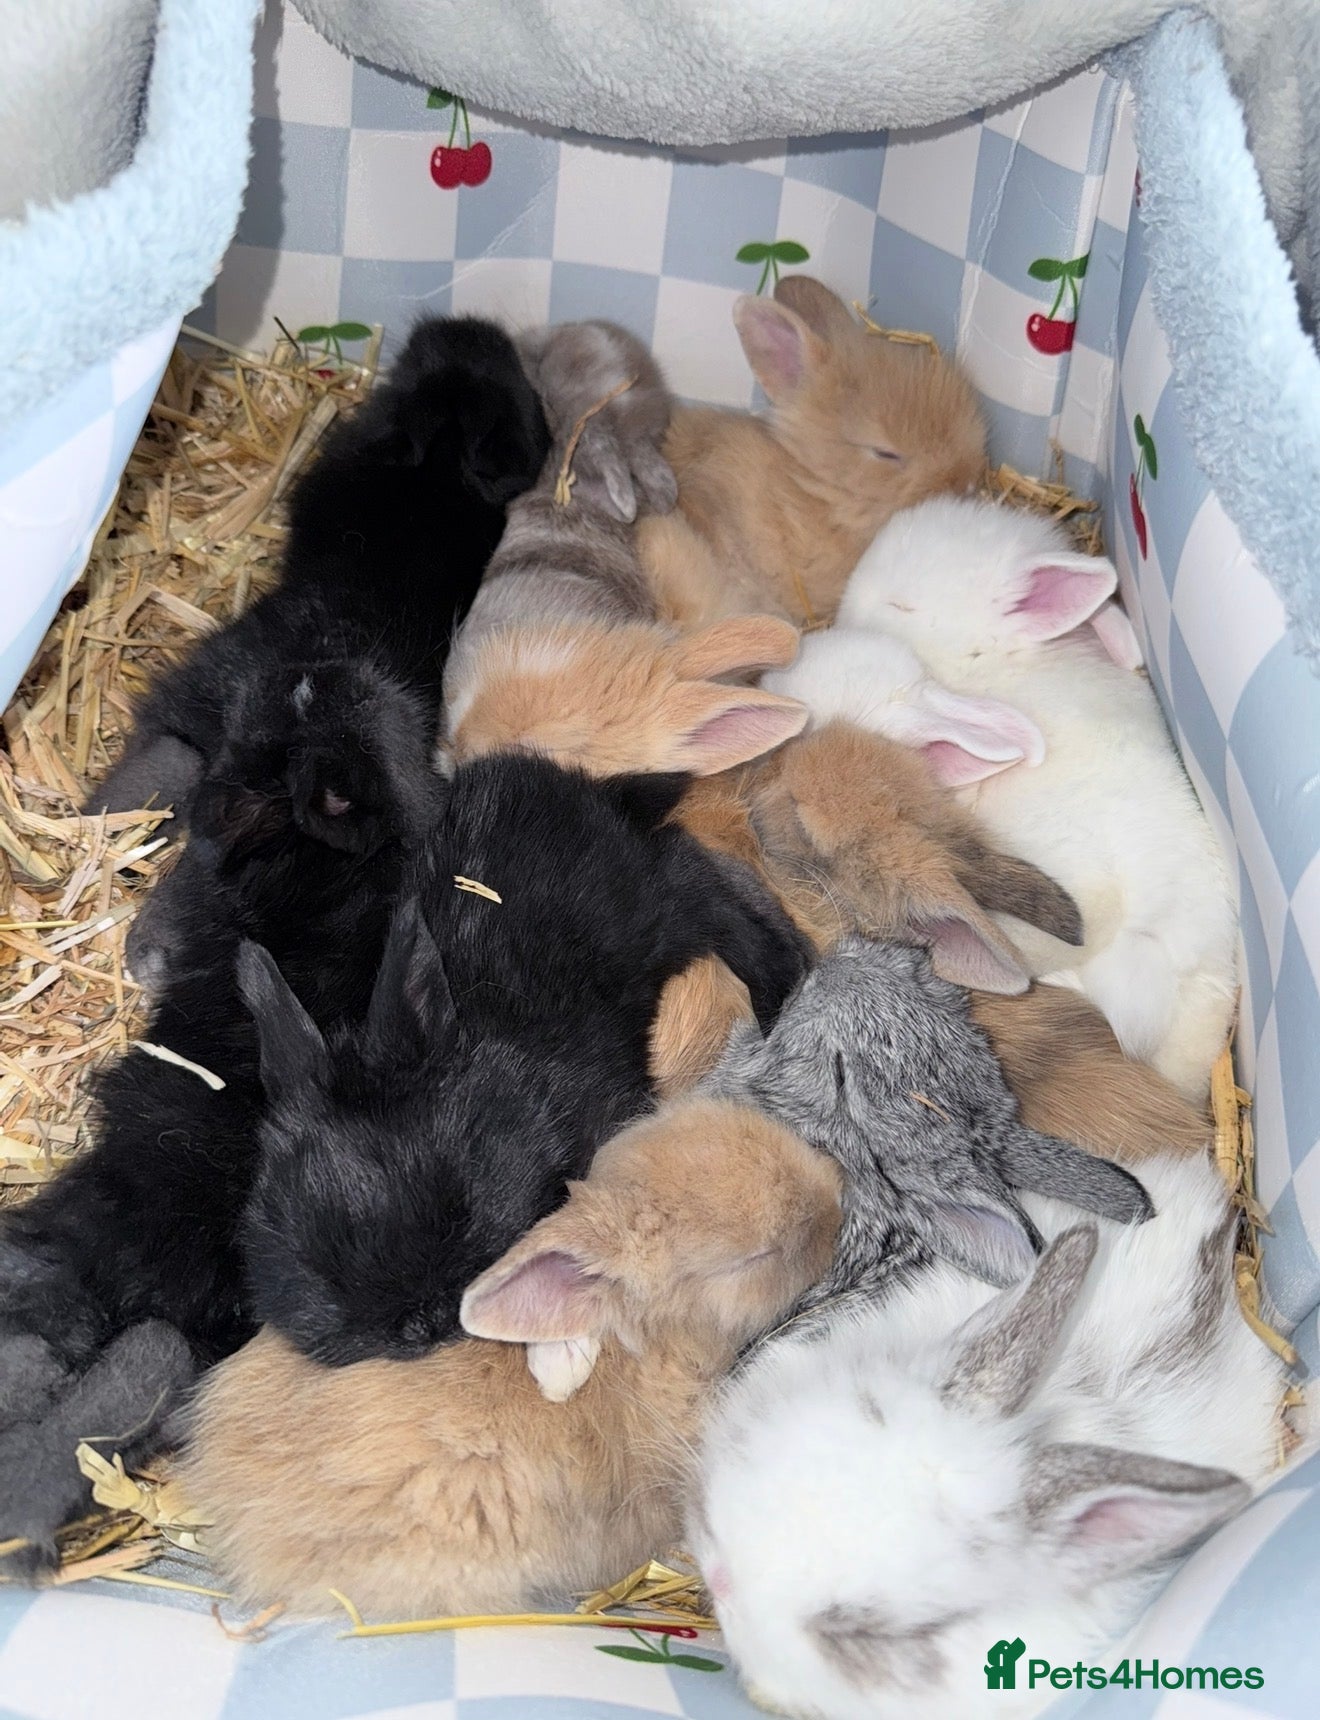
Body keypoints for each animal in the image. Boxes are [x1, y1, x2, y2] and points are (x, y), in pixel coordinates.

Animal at [237, 750, 812, 1366]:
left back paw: (785, 990)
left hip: (658, 911)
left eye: (459, 1203)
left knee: (711, 886)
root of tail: (582, 789)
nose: (420, 1324)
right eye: (313, 1258)